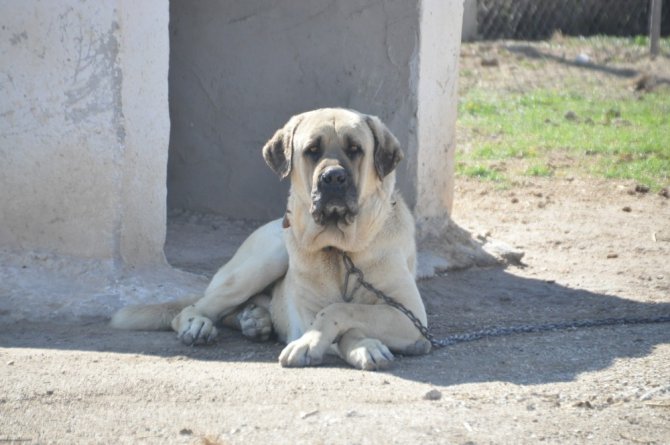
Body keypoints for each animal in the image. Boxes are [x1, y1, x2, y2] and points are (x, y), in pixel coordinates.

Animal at [111, 109, 430, 370]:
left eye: (355, 149)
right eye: (312, 150)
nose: (333, 178)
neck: (342, 251)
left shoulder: (410, 316)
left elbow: (344, 309)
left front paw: (360, 344)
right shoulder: (307, 313)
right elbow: (335, 315)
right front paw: (340, 345)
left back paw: (255, 319)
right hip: (266, 259)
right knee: (195, 309)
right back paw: (202, 324)